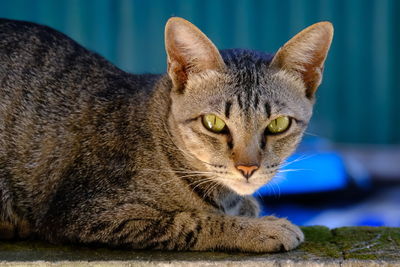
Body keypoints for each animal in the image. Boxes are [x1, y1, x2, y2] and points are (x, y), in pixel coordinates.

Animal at [0, 17, 332, 253]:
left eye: (278, 125)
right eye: (214, 123)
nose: (247, 168)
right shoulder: (86, 212)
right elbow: (192, 221)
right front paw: (262, 229)